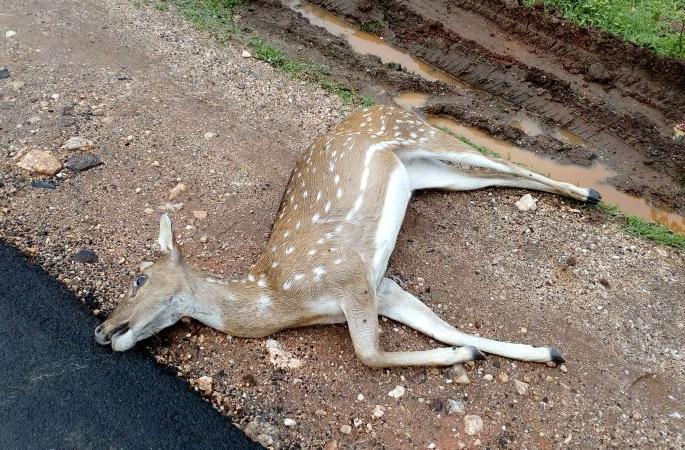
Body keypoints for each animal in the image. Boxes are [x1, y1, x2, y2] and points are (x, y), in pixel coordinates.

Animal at [95, 105, 601, 368]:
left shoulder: (350, 276)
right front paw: (541, 351)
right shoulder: (383, 287)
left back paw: (590, 192)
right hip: (428, 173)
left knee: (504, 161)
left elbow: (369, 353)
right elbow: (438, 325)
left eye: (139, 277)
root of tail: (382, 104)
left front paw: (464, 354)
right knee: (487, 177)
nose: (102, 329)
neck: (278, 297)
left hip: (423, 136)